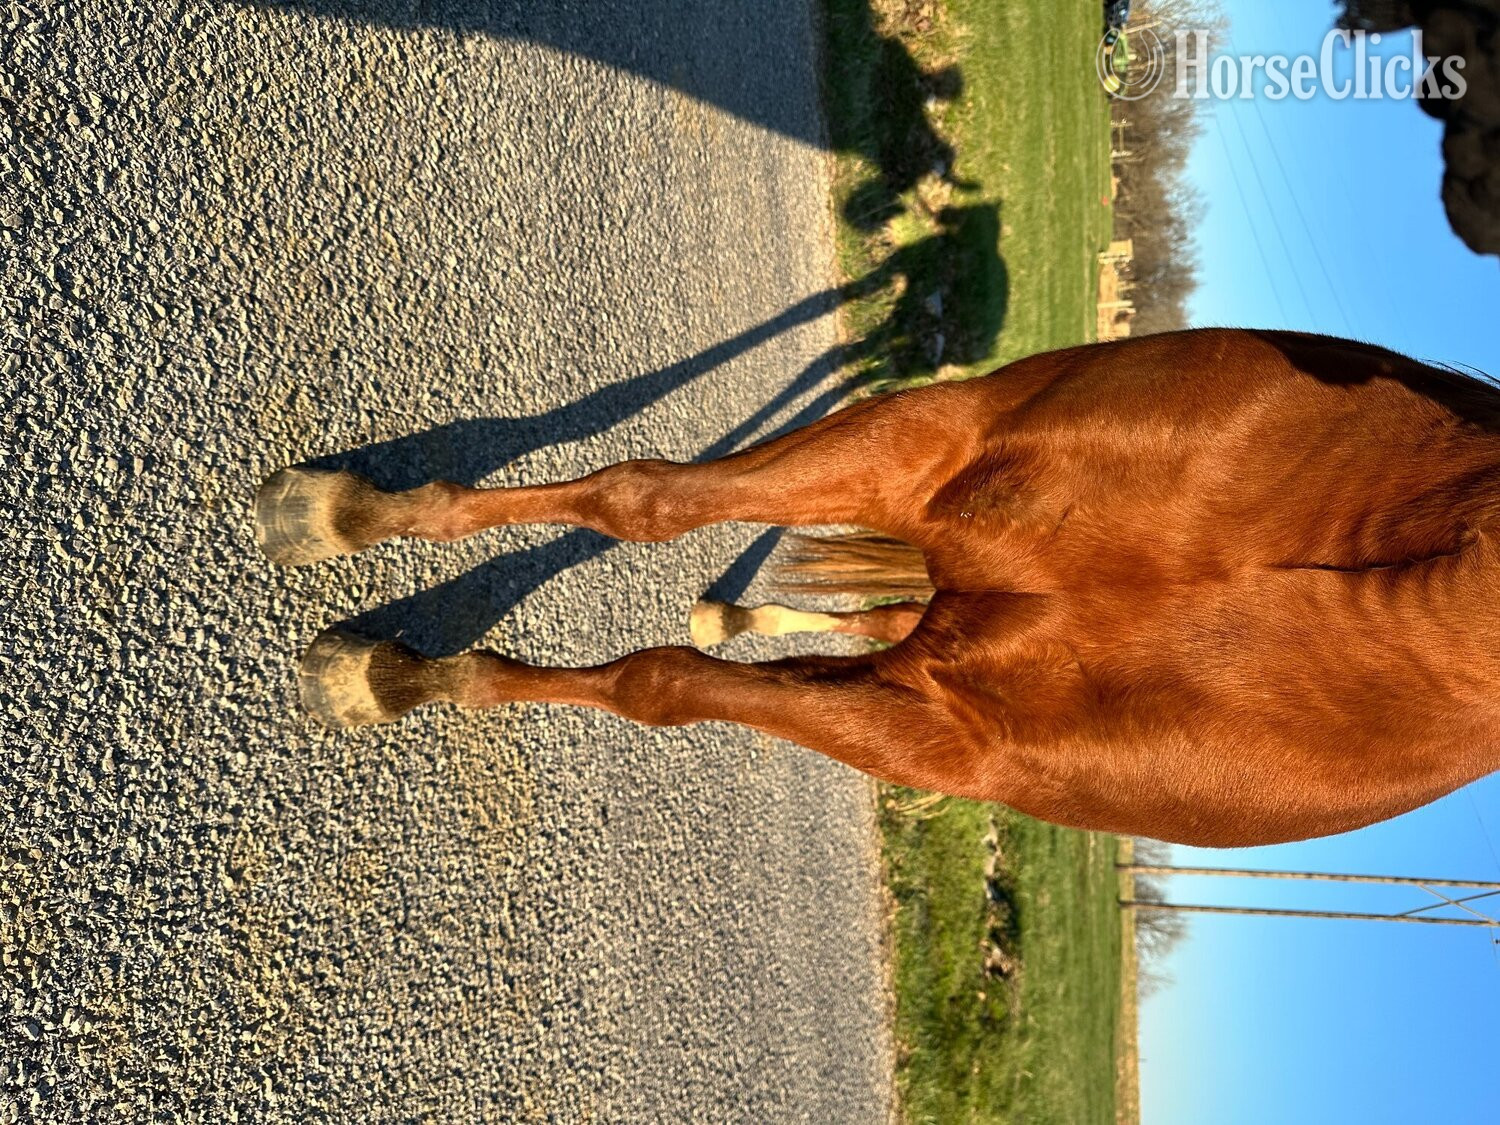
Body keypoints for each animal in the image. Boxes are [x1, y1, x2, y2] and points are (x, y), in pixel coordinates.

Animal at [254, 327, 1500, 848]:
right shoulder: (927, 445)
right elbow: (645, 502)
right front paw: (350, 523)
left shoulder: (934, 738)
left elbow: (660, 684)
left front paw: (396, 674)